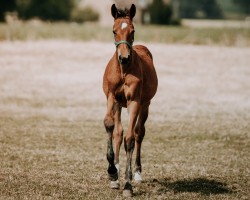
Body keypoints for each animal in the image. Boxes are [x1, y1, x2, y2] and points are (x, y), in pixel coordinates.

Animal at [102, 3, 157, 197]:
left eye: (133, 31)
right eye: (113, 31)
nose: (124, 58)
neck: (124, 71)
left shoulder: (134, 102)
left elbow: (131, 139)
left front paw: (128, 184)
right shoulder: (111, 97)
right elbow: (110, 126)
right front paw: (112, 172)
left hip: (145, 105)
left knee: (139, 133)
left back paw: (137, 173)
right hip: (119, 104)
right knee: (118, 133)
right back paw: (116, 172)